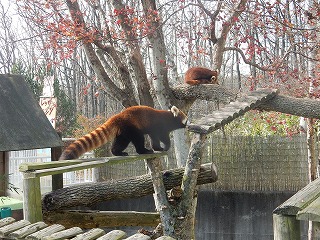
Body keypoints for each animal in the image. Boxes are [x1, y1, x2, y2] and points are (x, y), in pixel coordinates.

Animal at [59, 105, 188, 159]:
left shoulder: (153, 130)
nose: (188, 124)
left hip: (123, 132)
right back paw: (144, 151)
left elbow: (154, 139)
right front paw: (165, 147)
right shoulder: (159, 126)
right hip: (132, 128)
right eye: (186, 119)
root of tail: (118, 116)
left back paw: (118, 152)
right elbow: (163, 137)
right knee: (138, 139)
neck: (168, 117)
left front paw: (158, 148)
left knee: (120, 142)